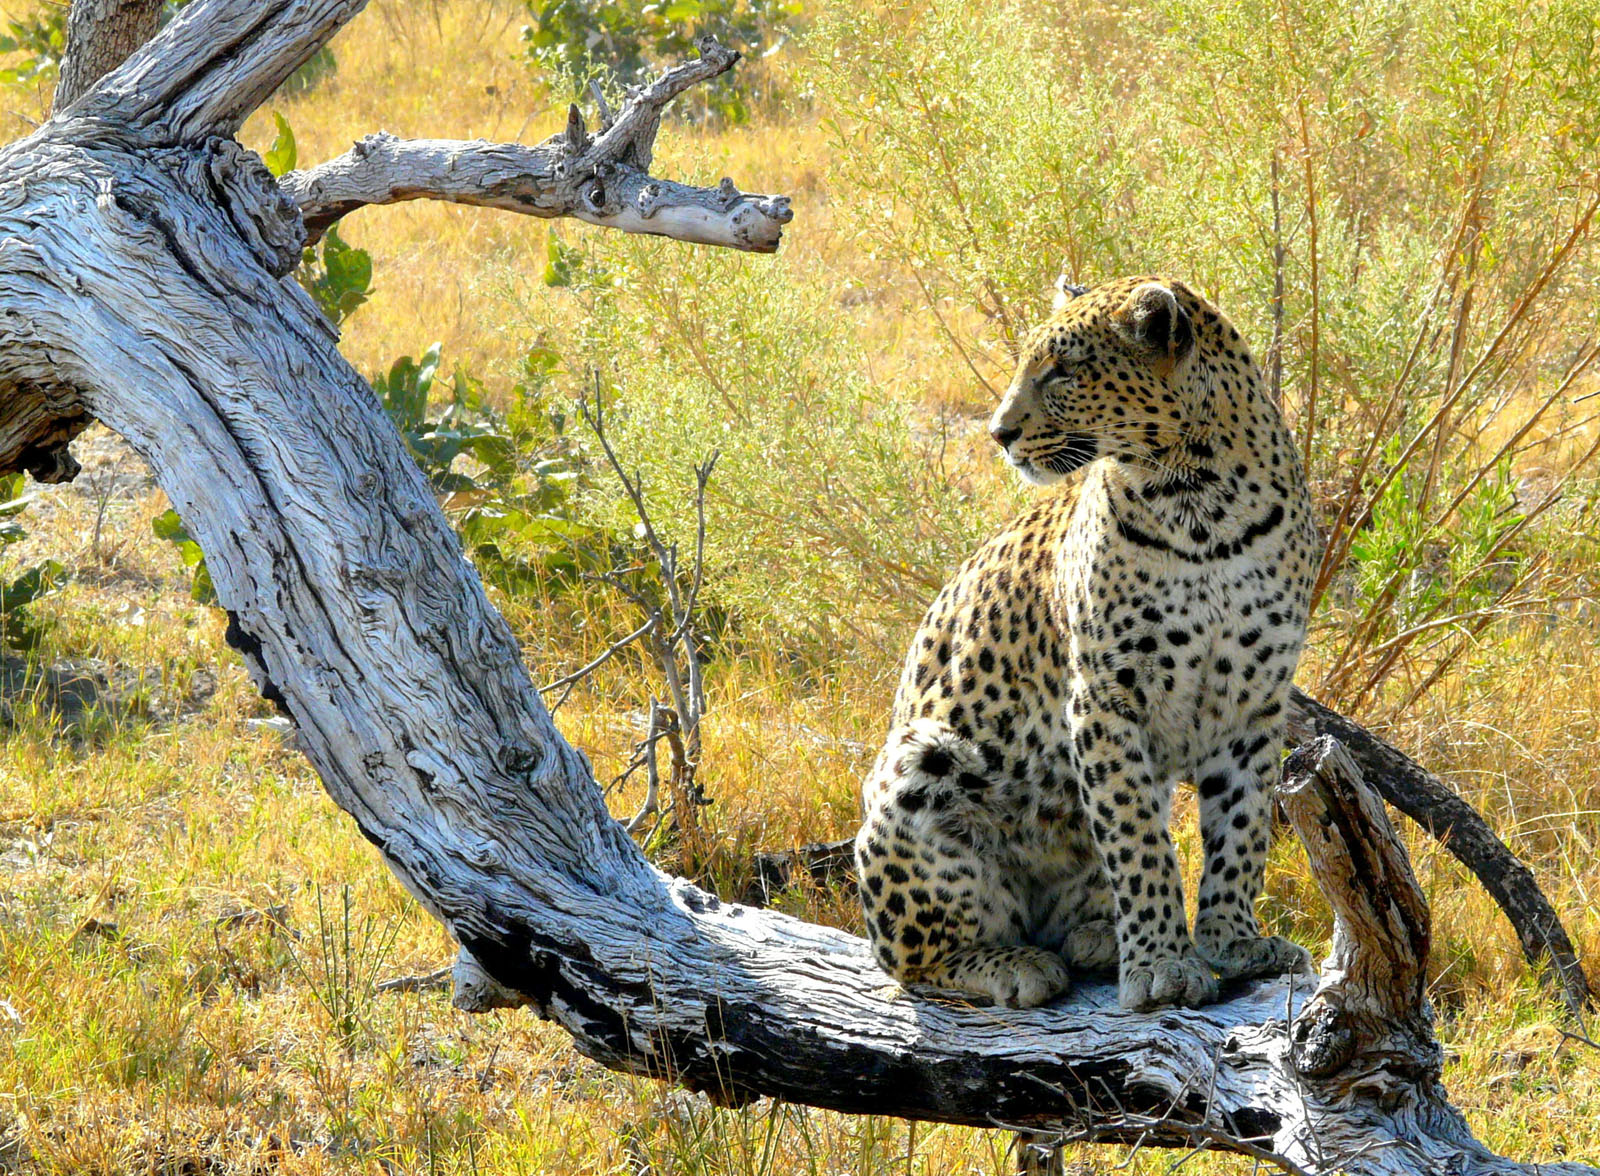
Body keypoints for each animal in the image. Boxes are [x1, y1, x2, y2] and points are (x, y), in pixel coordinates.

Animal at [857, 275, 1318, 1011]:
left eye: (1063, 372)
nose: (998, 433)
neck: (1202, 502)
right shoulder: (1106, 695)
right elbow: (1138, 839)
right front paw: (1163, 965)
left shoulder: (1254, 704)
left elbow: (1241, 829)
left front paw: (1234, 942)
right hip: (920, 761)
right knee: (912, 959)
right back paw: (1013, 963)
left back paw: (1095, 936)